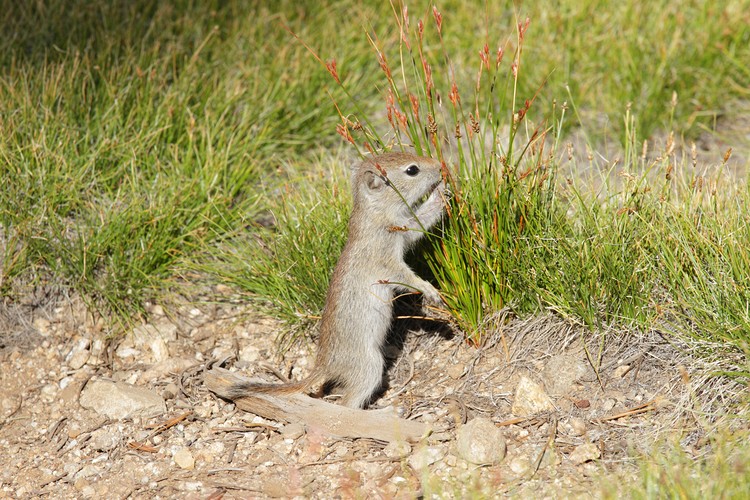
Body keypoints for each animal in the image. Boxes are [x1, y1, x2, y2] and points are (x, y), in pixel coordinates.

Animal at [228, 152, 446, 408]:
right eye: (412, 170)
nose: (440, 166)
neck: (374, 211)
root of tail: (324, 366)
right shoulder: (386, 260)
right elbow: (405, 276)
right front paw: (430, 290)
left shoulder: (406, 228)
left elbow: (421, 220)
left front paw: (443, 191)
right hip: (370, 366)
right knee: (346, 404)